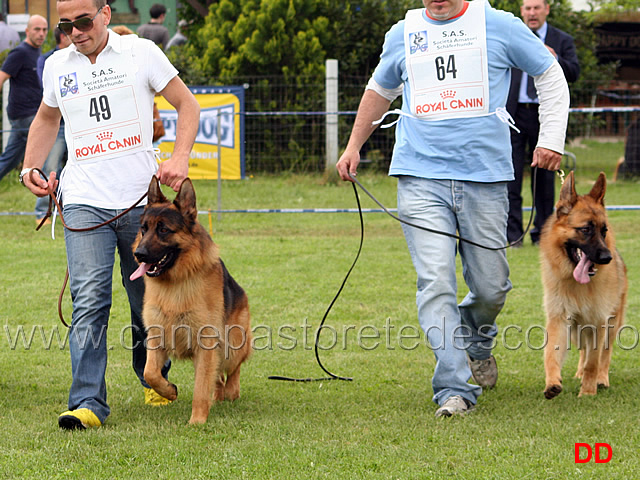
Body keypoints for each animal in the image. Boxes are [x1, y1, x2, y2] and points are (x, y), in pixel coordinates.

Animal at [129, 177, 251, 424]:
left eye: (163, 230)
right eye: (144, 229)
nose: (139, 254)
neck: (176, 283)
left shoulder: (206, 344)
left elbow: (200, 387)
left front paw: (197, 420)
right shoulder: (158, 337)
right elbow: (150, 373)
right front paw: (169, 391)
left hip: (231, 344)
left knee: (233, 368)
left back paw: (231, 391)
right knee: (218, 377)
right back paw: (219, 395)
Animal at [536, 172, 628, 398]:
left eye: (604, 231)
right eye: (585, 229)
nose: (606, 258)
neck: (577, 284)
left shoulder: (598, 323)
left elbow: (593, 362)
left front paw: (587, 391)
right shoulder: (559, 320)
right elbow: (551, 354)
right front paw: (552, 382)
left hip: (611, 325)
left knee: (605, 354)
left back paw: (601, 379)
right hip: (577, 331)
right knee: (583, 351)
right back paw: (579, 373)